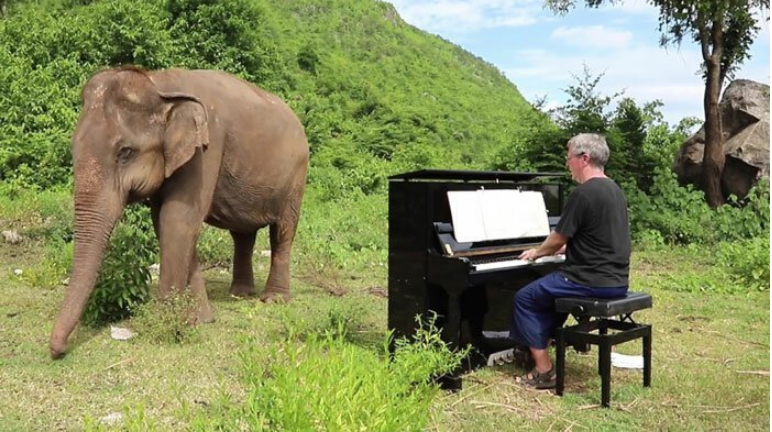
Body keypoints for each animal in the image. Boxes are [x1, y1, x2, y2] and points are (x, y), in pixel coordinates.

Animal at [46, 66, 308, 358]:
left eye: (125, 152)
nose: (58, 351)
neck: (159, 83)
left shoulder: (206, 148)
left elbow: (178, 218)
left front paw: (165, 321)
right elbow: (166, 224)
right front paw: (200, 319)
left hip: (297, 178)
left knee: (283, 232)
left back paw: (273, 299)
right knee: (243, 235)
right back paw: (240, 294)